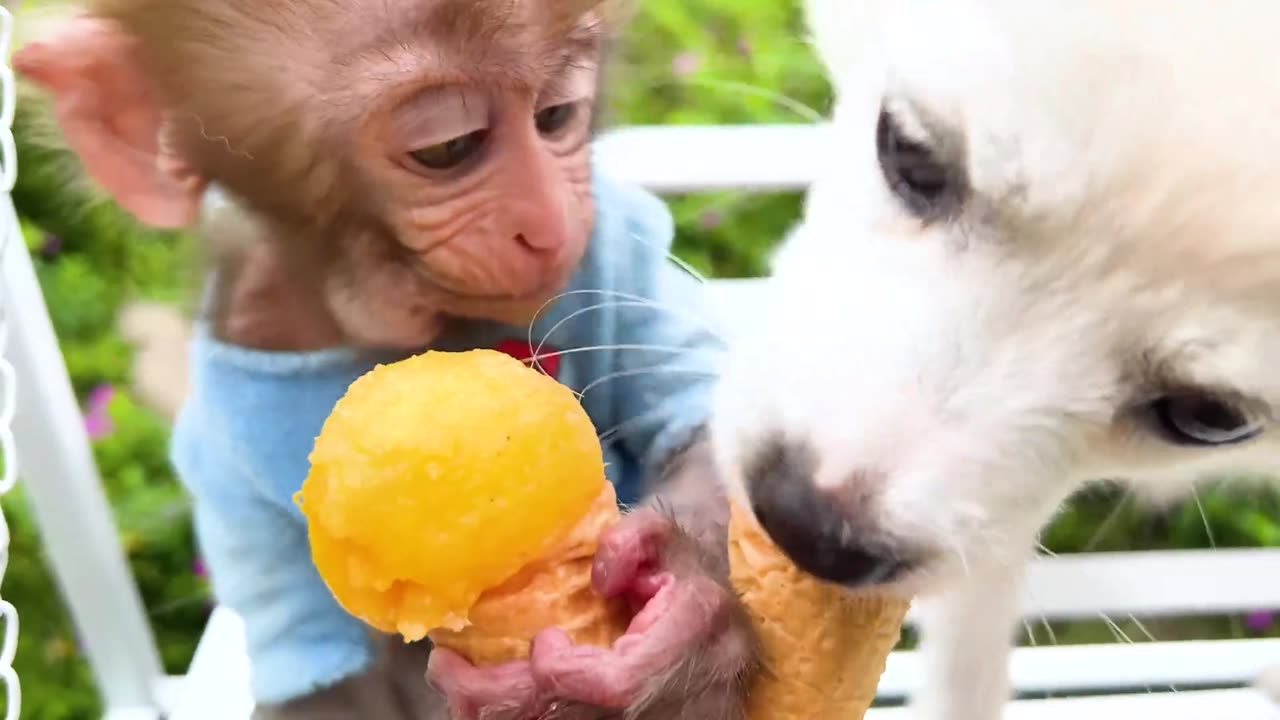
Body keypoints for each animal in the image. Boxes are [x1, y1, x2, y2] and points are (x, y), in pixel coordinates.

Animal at [17, 1, 757, 717]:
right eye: (448, 147)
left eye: (556, 116)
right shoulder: (226, 466)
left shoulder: (619, 243)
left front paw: (680, 621)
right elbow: (330, 695)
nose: (549, 224)